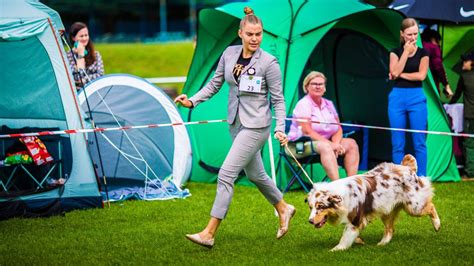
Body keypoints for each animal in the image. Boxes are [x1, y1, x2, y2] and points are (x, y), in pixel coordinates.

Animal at [308, 155, 440, 250]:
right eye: (310, 207)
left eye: (321, 206)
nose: (310, 221)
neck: (342, 195)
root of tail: (407, 167)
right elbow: (351, 234)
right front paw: (359, 240)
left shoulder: (355, 219)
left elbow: (345, 237)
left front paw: (336, 249)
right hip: (387, 210)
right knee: (390, 230)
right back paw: (382, 244)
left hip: (414, 207)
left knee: (431, 206)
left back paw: (437, 225)